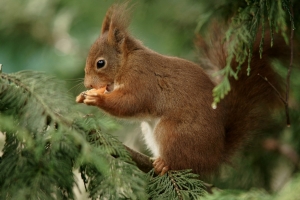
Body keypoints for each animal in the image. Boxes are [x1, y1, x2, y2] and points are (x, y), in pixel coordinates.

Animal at [76, 2, 288, 175]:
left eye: (100, 63)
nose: (88, 84)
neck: (127, 62)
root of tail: (215, 156)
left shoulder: (142, 81)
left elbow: (130, 103)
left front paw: (96, 98)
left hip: (172, 133)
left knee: (182, 162)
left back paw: (164, 164)